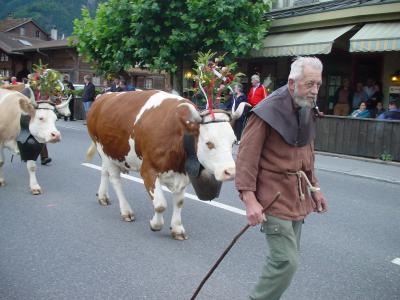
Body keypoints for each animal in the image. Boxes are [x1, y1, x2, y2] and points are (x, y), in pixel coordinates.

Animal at [86, 90, 245, 240]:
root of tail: (103, 97)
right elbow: (160, 204)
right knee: (115, 180)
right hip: (103, 150)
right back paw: (126, 211)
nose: (231, 171)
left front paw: (177, 229)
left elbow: (179, 202)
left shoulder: (182, 174)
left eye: (233, 142)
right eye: (209, 143)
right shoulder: (148, 170)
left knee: (104, 172)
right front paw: (155, 224)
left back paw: (102, 197)